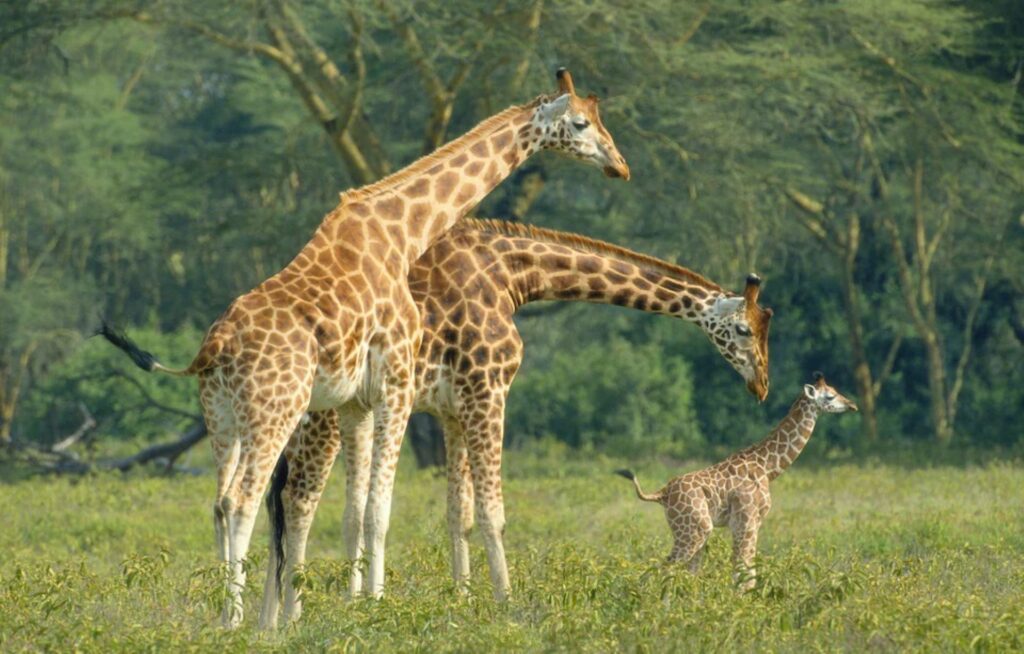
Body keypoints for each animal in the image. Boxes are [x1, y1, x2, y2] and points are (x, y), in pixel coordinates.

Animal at [101, 69, 629, 627]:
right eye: (581, 122)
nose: (619, 165)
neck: (404, 233)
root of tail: (211, 349)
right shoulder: (396, 381)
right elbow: (380, 509)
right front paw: (378, 605)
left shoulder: (356, 399)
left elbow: (356, 511)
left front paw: (354, 604)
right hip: (275, 410)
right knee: (247, 501)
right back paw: (238, 621)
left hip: (221, 417)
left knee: (221, 502)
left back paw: (230, 618)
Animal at [258, 218, 774, 626]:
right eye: (743, 330)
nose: (762, 386)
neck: (512, 276)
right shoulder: (488, 389)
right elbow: (493, 513)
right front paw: (505, 603)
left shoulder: (452, 410)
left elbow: (458, 514)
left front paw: (461, 602)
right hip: (320, 416)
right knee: (298, 500)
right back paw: (292, 616)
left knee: (280, 500)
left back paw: (270, 620)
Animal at [616, 372, 857, 591]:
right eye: (830, 396)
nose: (852, 405)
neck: (767, 467)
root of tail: (662, 494)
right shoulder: (746, 520)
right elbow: (744, 570)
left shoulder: (751, 522)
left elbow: (745, 569)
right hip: (695, 530)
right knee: (664, 567)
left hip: (694, 531)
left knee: (683, 571)